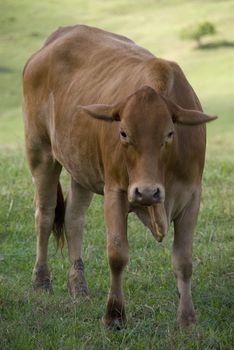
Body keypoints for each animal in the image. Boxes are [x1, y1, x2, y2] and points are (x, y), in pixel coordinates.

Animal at [22, 24, 217, 328]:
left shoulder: (192, 197)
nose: (147, 192)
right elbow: (117, 254)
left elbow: (183, 260)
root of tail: (59, 35)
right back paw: (41, 281)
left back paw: (78, 285)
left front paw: (187, 319)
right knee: (45, 215)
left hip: (81, 166)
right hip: (40, 152)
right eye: (123, 133)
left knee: (73, 219)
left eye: (170, 133)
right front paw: (114, 315)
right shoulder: (115, 192)